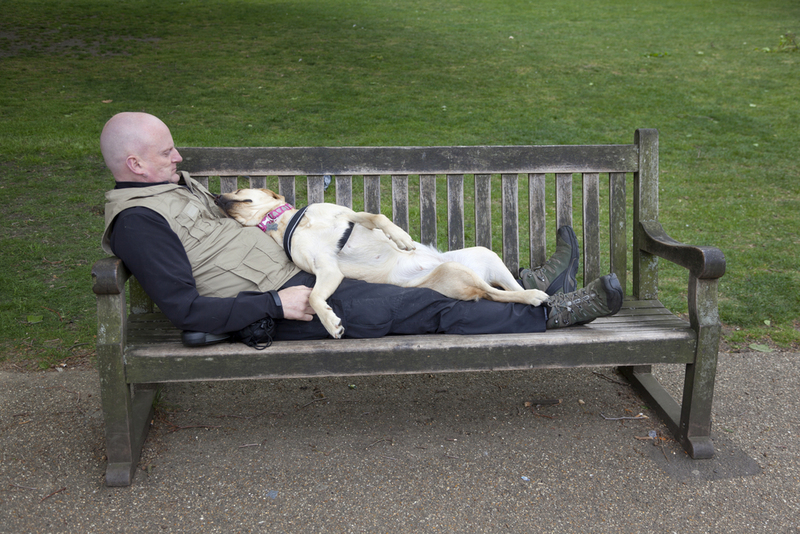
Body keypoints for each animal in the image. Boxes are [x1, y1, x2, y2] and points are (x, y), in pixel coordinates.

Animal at [216, 189, 548, 340]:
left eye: (238, 189)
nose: (217, 196)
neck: (290, 222)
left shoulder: (347, 216)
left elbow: (377, 217)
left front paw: (400, 238)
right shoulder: (326, 269)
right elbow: (314, 297)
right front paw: (330, 322)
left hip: (481, 256)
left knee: (505, 288)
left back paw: (536, 291)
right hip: (454, 272)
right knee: (495, 295)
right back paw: (535, 296)